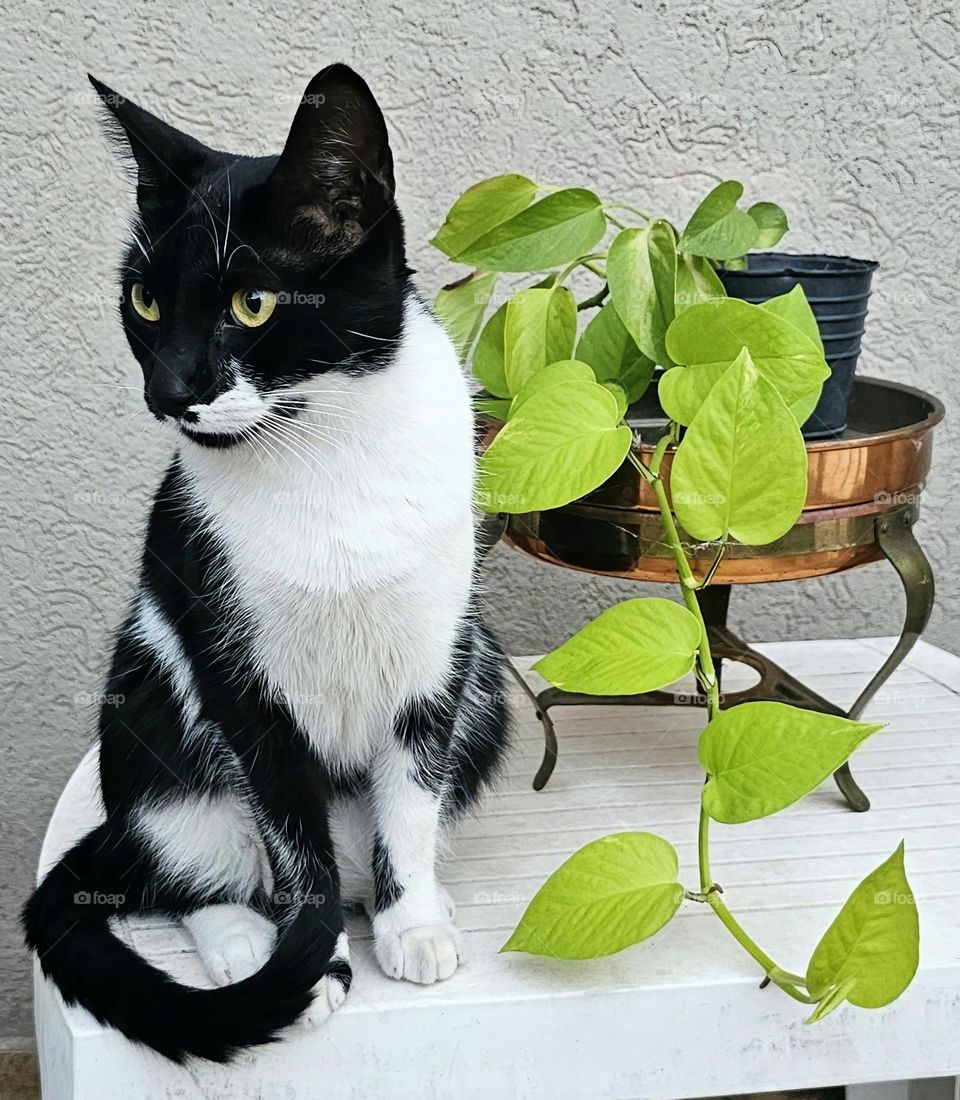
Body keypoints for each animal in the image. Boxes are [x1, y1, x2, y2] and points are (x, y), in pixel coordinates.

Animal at [20, 64, 510, 1060]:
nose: (168, 390)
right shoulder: (234, 674)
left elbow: (411, 802)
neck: (324, 448)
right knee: (188, 871)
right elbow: (291, 837)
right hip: (151, 712)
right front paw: (308, 965)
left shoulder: (437, 661)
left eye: (254, 304)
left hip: (488, 690)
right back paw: (247, 944)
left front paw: (413, 925)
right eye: (145, 303)